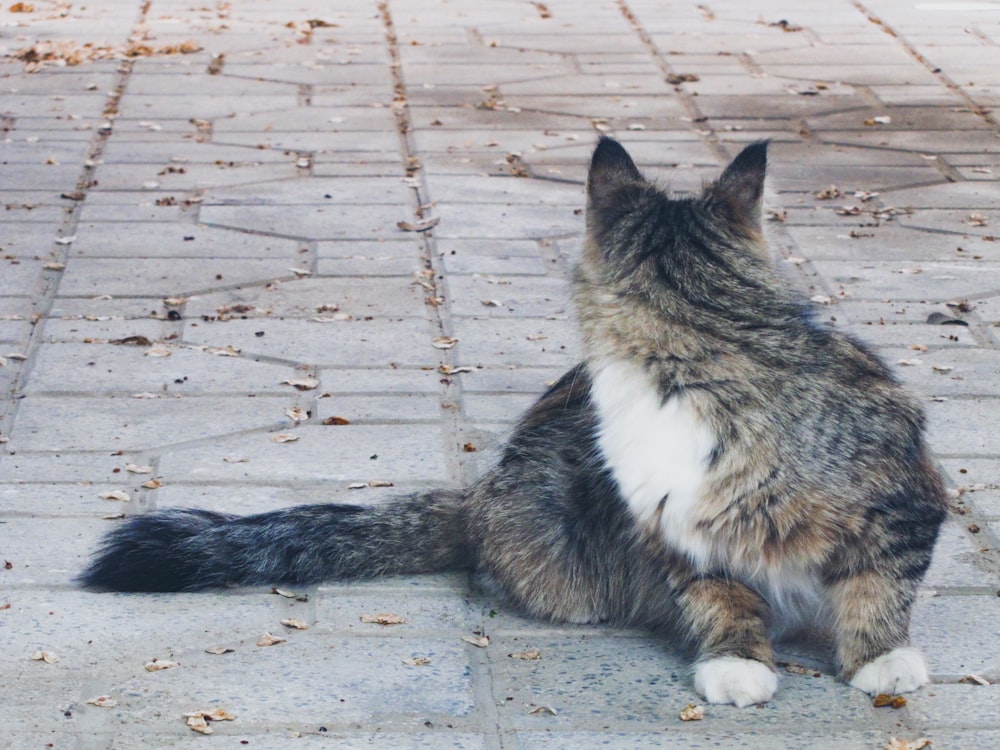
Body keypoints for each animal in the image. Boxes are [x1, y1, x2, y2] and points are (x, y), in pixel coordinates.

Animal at [78, 137, 944, 712]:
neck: (701, 358)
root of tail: (482, 492)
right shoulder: (678, 538)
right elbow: (721, 600)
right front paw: (736, 662)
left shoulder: (906, 498)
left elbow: (880, 588)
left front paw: (882, 661)